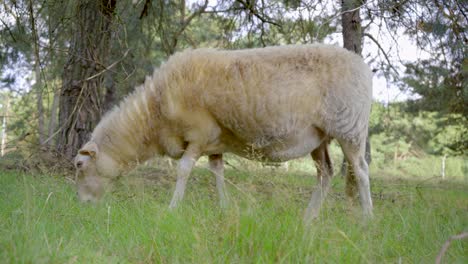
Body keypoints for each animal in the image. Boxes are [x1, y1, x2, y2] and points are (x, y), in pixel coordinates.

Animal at [73, 44, 372, 222]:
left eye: (78, 165)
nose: (82, 205)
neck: (153, 115)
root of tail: (361, 64)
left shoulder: (198, 135)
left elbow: (183, 170)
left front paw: (172, 209)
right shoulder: (214, 142)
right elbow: (217, 172)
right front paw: (225, 208)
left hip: (350, 127)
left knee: (361, 171)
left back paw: (367, 219)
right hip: (318, 137)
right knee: (326, 173)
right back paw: (308, 218)